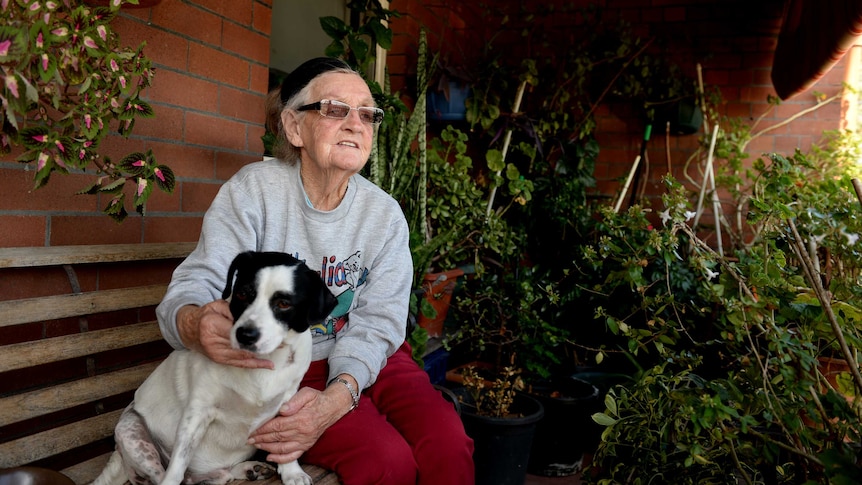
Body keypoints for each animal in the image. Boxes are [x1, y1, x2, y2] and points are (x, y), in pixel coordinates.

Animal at [93, 251, 338, 484]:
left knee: (218, 476)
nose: (245, 335)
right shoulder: (198, 412)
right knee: (174, 476)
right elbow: (177, 467)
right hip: (132, 432)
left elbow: (285, 444)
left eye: (284, 304)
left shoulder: (286, 403)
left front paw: (291, 472)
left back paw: (248, 469)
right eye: (242, 293)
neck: (264, 363)